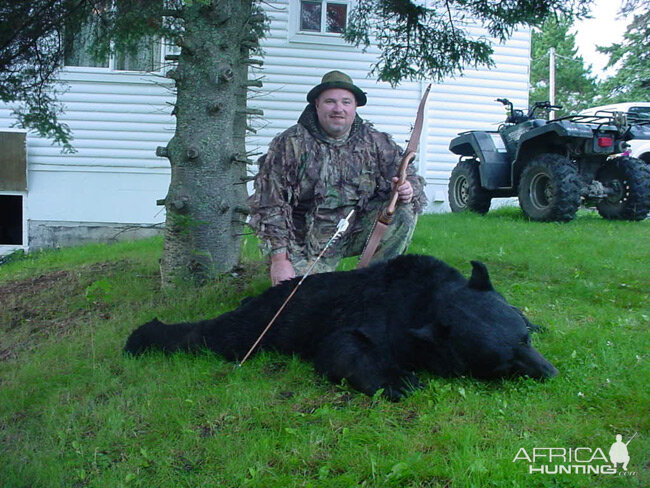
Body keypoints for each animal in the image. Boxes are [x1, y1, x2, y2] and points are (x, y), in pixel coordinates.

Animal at [125, 255, 556, 400]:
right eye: (502, 365)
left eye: (524, 339)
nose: (549, 371)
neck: (424, 300)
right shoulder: (371, 314)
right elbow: (340, 346)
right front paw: (399, 381)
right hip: (264, 323)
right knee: (216, 335)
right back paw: (142, 337)